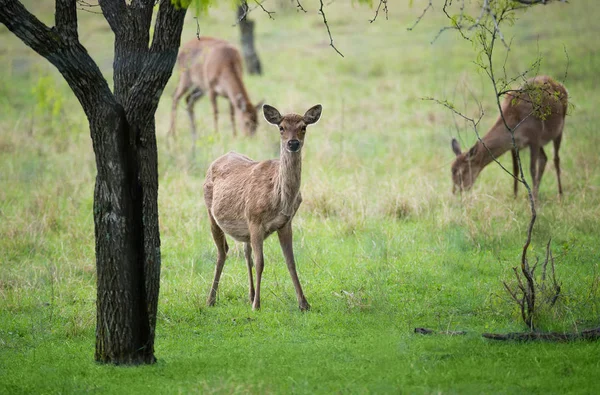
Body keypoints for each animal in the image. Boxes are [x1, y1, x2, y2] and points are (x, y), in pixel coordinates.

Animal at [203, 104, 324, 312]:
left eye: (303, 127)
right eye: (281, 127)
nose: (293, 143)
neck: (280, 198)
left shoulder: (285, 223)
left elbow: (291, 262)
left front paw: (304, 304)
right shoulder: (254, 219)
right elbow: (261, 263)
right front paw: (256, 305)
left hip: (244, 229)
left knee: (246, 253)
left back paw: (250, 294)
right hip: (211, 212)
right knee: (222, 252)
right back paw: (211, 299)